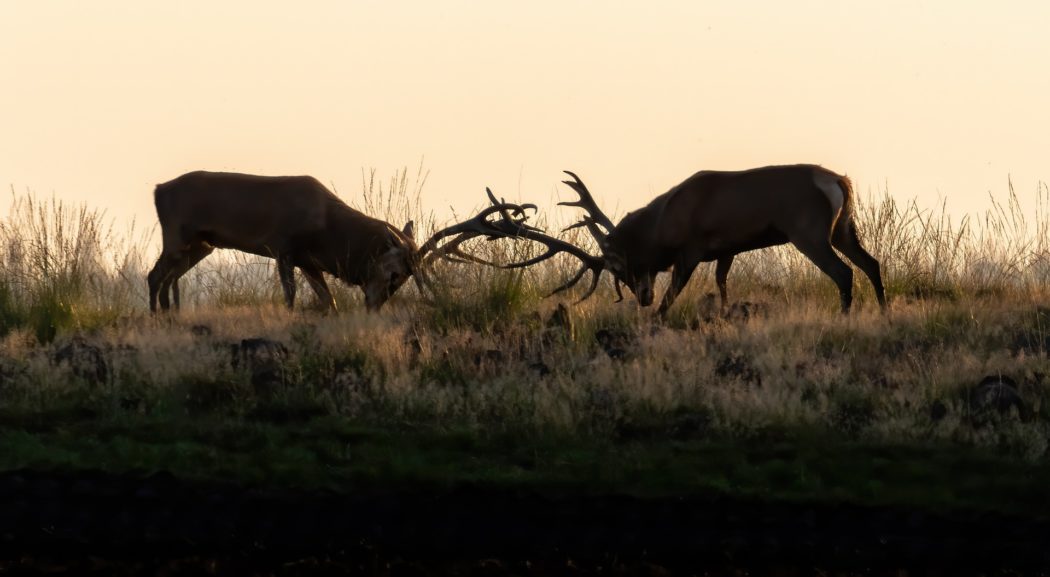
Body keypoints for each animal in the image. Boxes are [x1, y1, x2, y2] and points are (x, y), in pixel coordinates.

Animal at [147, 171, 536, 313]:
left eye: (405, 280)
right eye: (395, 273)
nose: (375, 305)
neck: (327, 229)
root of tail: (157, 190)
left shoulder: (309, 261)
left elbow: (329, 300)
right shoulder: (285, 246)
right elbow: (290, 295)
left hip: (202, 244)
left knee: (167, 277)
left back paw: (169, 314)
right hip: (177, 234)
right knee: (154, 275)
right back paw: (157, 315)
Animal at [485, 165, 887, 315]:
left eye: (619, 266)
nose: (641, 298)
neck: (663, 225)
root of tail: (839, 181)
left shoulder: (692, 248)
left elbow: (672, 296)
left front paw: (657, 317)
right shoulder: (728, 248)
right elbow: (722, 283)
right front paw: (725, 313)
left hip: (808, 231)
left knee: (844, 272)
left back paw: (845, 316)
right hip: (843, 227)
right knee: (871, 262)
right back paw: (883, 311)